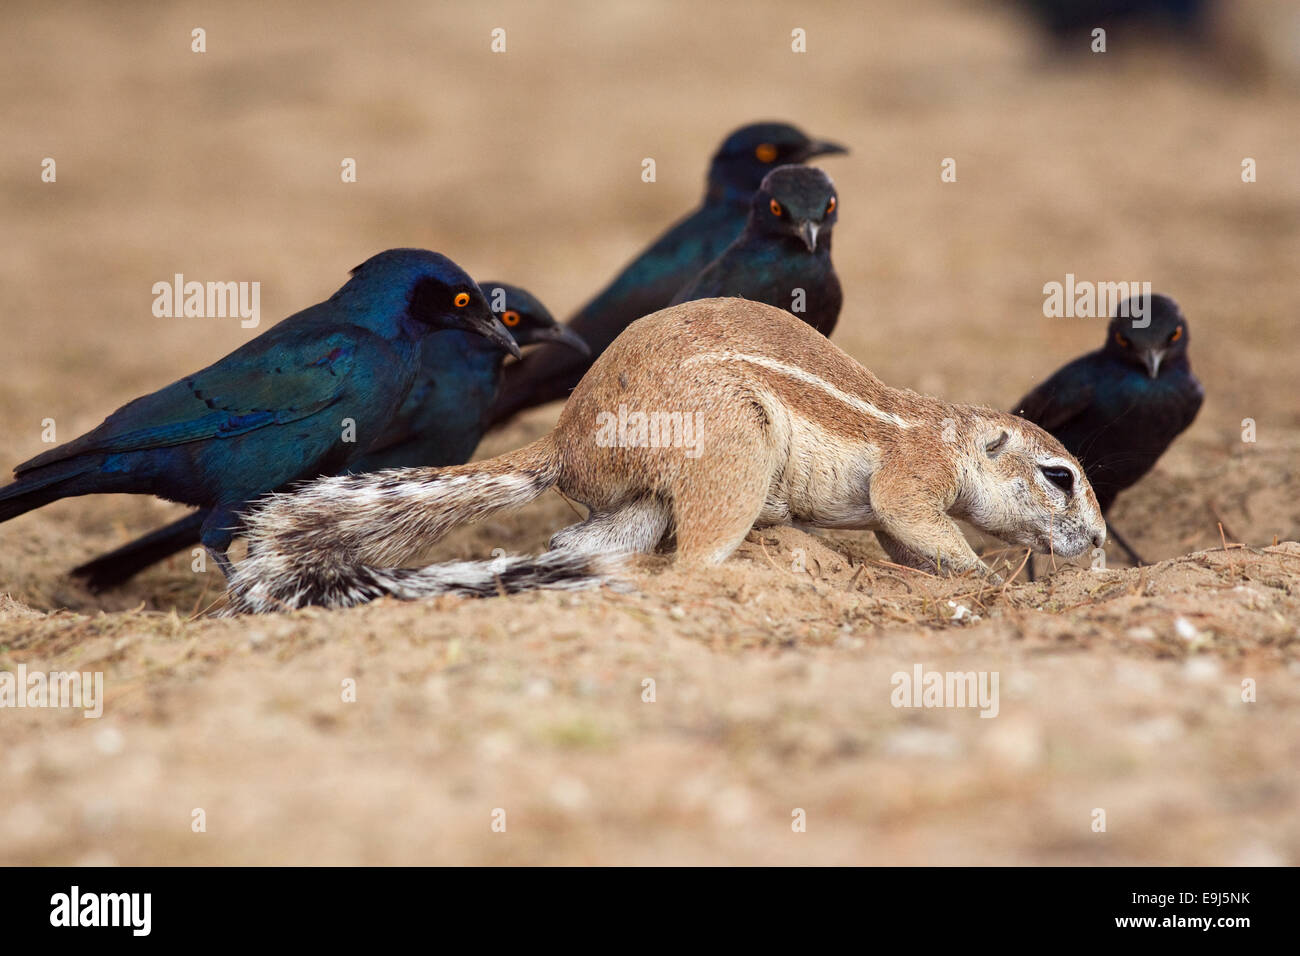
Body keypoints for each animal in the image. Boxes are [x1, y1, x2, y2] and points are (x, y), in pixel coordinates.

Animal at [228, 299, 1102, 613]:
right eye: (1059, 476)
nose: (1095, 542)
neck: (948, 432)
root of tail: (567, 438)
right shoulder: (912, 474)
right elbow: (912, 520)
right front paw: (989, 575)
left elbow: (906, 538)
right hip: (733, 448)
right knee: (695, 561)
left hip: (636, 501)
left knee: (587, 542)